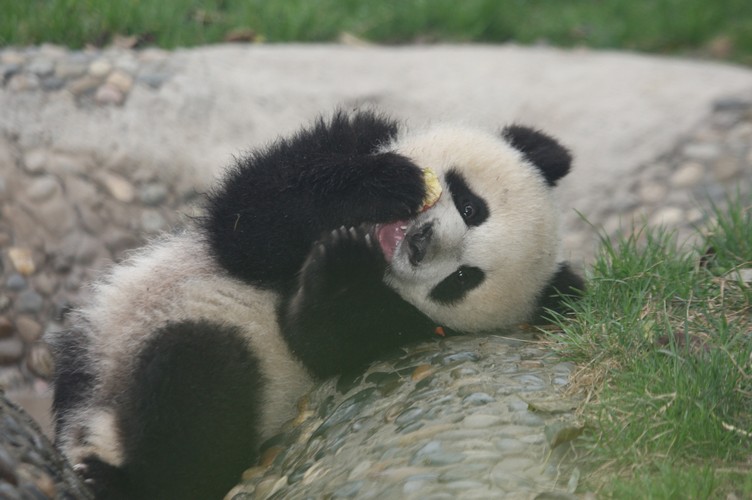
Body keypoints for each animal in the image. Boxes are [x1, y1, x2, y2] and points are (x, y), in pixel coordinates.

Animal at [47, 110, 582, 499]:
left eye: (462, 279)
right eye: (472, 208)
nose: (420, 244)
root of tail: (100, 425)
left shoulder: (403, 325)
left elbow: (319, 339)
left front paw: (341, 271)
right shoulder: (350, 138)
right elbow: (254, 213)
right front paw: (388, 186)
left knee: (199, 386)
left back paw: (122, 479)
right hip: (94, 342)